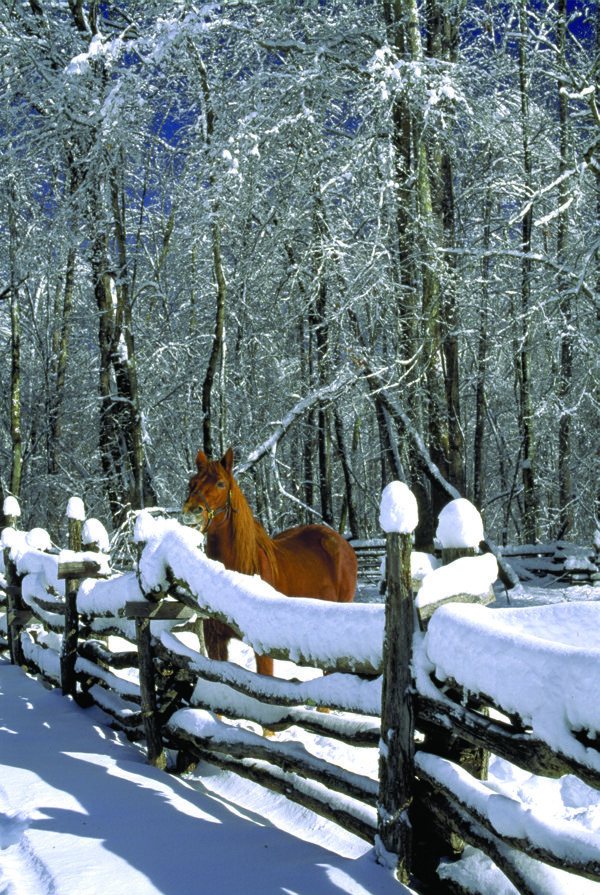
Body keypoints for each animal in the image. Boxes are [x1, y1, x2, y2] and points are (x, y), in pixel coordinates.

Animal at [180, 452, 354, 676]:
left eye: (220, 483)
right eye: (191, 483)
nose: (191, 512)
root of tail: (340, 541)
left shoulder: (262, 651)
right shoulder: (215, 643)